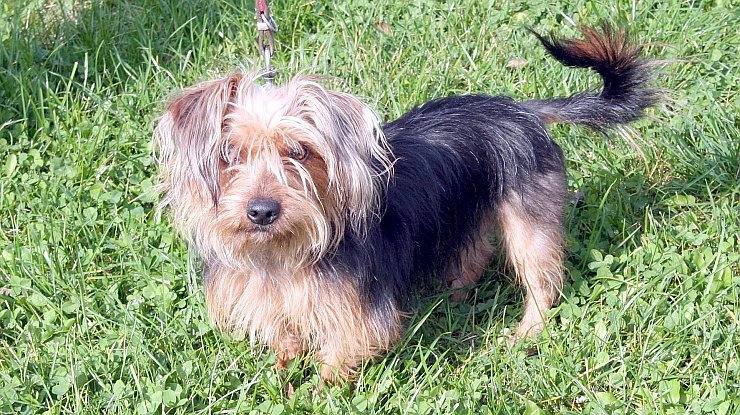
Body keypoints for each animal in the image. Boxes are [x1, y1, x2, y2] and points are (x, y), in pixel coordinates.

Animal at [154, 25, 658, 383]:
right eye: (230, 155)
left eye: (299, 152)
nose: (261, 212)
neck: (282, 254)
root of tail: (522, 110)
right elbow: (286, 340)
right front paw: (282, 372)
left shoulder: (358, 315)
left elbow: (338, 357)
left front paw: (317, 392)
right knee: (475, 253)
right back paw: (452, 296)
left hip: (529, 224)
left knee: (543, 282)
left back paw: (523, 334)